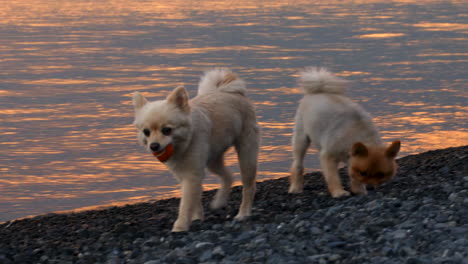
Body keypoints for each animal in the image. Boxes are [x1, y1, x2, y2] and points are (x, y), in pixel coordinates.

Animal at [132, 69, 260, 232]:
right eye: (146, 132)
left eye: (167, 130)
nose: (154, 146)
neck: (183, 143)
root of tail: (232, 92)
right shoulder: (186, 175)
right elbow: (195, 200)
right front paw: (197, 218)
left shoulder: (191, 175)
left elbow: (186, 203)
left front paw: (180, 226)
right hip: (212, 161)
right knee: (228, 176)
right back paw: (219, 201)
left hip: (246, 154)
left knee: (248, 187)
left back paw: (243, 213)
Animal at [288, 67, 400, 197]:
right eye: (363, 173)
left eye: (381, 174)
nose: (371, 187)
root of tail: (318, 91)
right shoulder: (328, 156)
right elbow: (333, 177)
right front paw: (339, 192)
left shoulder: (351, 160)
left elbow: (353, 176)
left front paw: (358, 190)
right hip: (301, 138)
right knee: (297, 165)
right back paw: (296, 187)